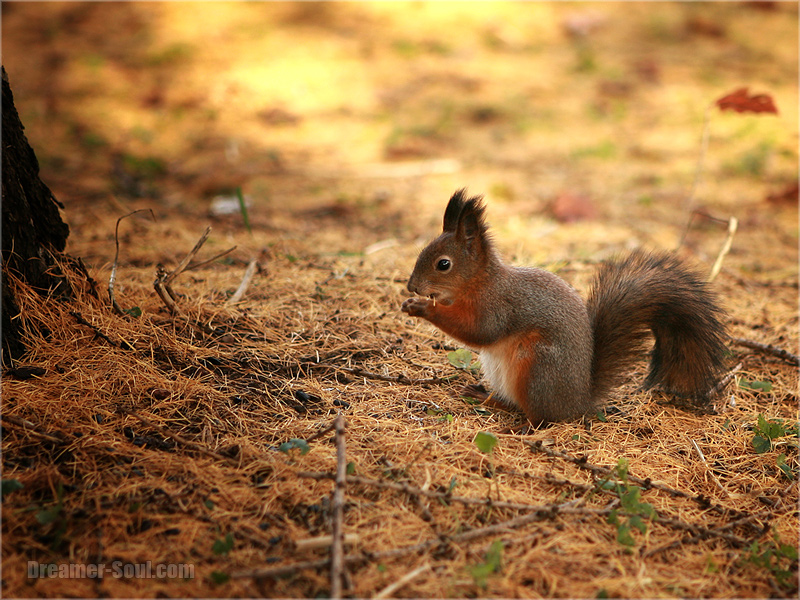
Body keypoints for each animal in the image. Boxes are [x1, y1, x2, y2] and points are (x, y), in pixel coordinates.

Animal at [404, 190, 728, 424]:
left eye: (443, 264)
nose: (411, 286)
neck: (479, 282)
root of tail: (578, 402)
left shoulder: (498, 307)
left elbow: (480, 332)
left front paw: (423, 307)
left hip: (537, 368)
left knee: (543, 418)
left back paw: (523, 427)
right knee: (516, 405)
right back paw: (486, 397)